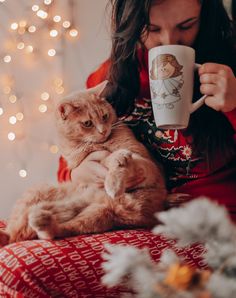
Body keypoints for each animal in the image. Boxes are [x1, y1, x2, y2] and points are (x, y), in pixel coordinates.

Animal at [0, 80, 166, 246]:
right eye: (87, 123)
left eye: (105, 116)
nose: (103, 131)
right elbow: (108, 157)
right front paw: (114, 164)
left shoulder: (147, 164)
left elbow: (118, 159)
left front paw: (114, 180)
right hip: (41, 194)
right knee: (19, 232)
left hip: (98, 213)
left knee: (58, 228)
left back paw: (41, 220)